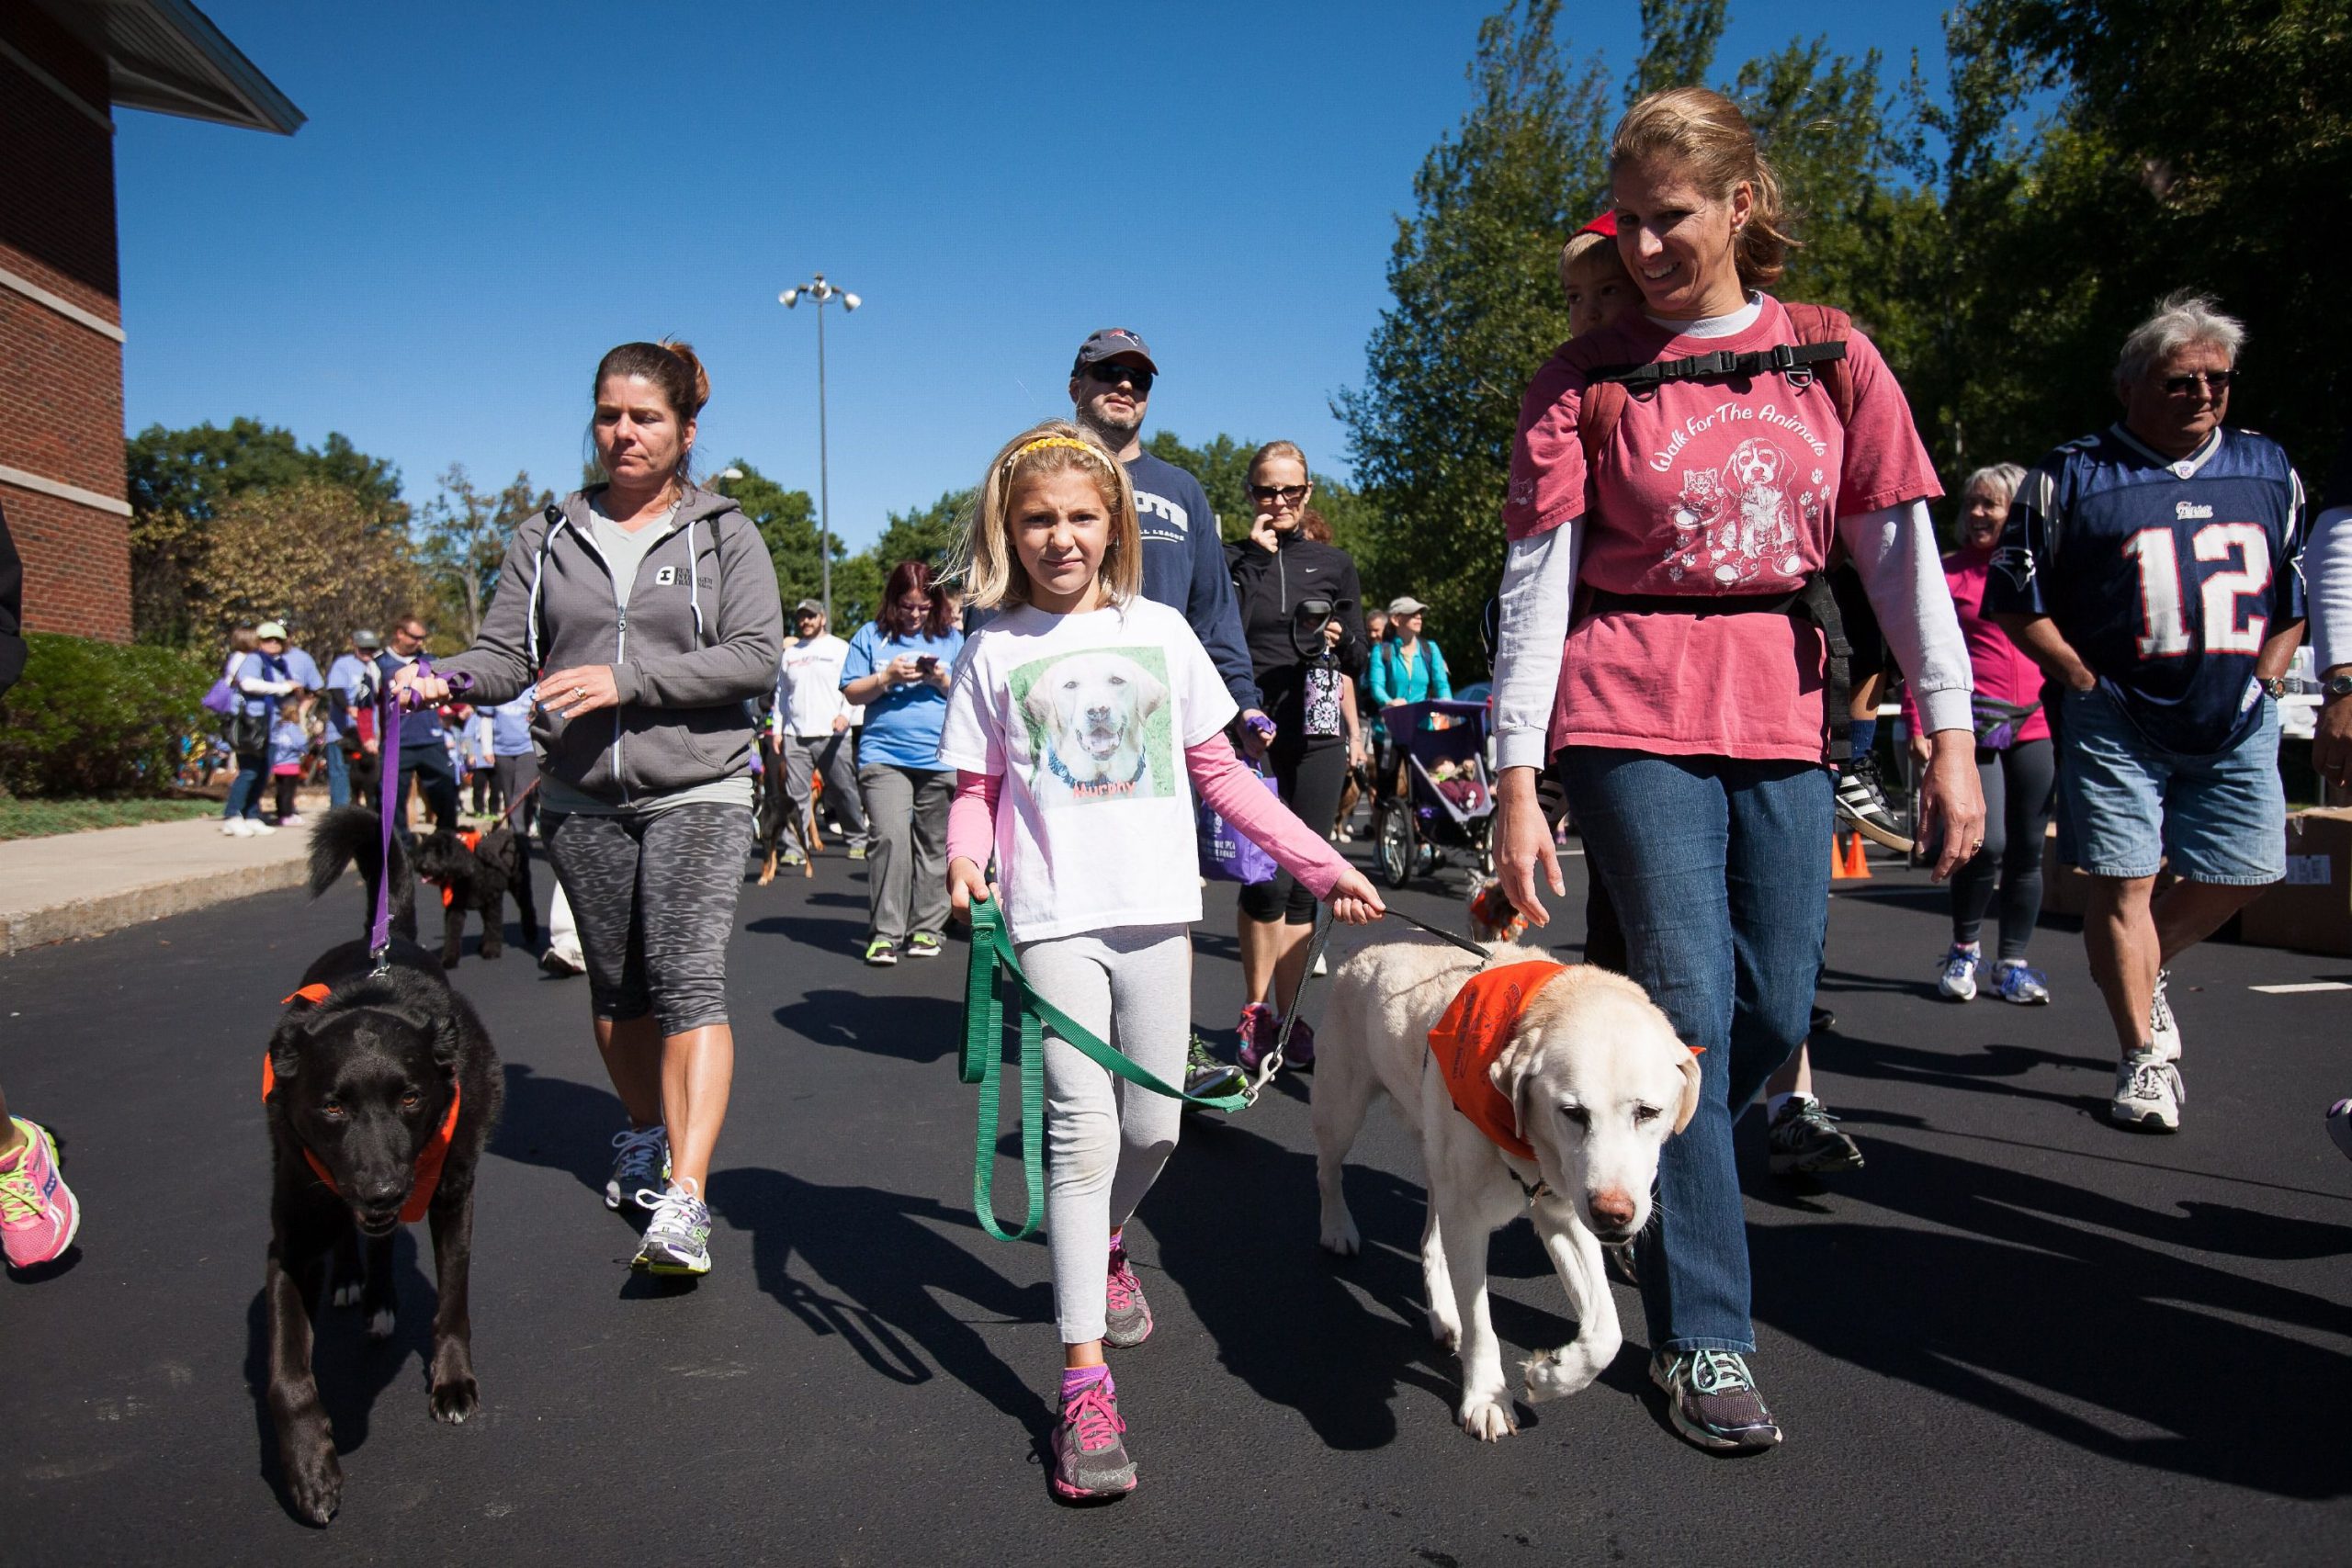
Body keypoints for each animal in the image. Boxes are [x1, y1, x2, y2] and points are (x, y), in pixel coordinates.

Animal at [266, 818, 505, 1523]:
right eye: (331, 1106)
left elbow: (452, 1301)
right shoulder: (290, 1238)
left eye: (411, 1097)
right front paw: (309, 1468)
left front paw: (452, 1382)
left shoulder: (454, 1196)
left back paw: (378, 1295)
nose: (381, 1190)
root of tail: (384, 938)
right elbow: (287, 1372)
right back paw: (358, 1284)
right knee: (356, 1240)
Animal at [418, 822, 540, 968]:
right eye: (425, 851)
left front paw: (492, 950)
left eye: (440, 853)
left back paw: (531, 933)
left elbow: (493, 926)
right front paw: (449, 958)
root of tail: (509, 833)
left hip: (519, 884)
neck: (469, 873)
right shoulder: (455, 907)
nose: (424, 867)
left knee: (527, 908)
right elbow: (452, 933)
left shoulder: (493, 902)